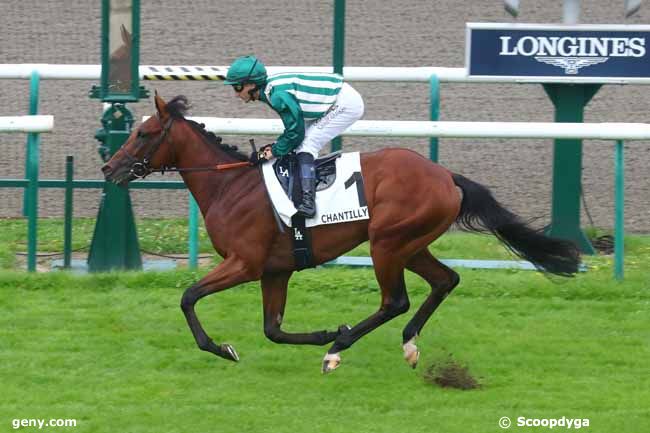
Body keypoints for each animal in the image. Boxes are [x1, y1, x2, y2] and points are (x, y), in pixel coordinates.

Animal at [102, 93, 584, 372]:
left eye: (144, 133)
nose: (108, 167)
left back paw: (339, 348)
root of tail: (447, 176)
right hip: (410, 243)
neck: (230, 186)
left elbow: (188, 297)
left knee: (395, 300)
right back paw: (405, 343)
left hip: (386, 243)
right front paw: (319, 332)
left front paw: (223, 348)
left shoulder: (245, 263)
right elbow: (272, 329)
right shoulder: (275, 270)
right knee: (445, 280)